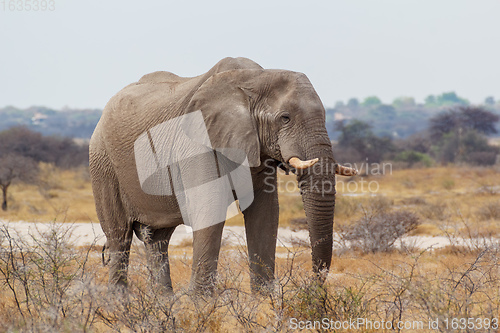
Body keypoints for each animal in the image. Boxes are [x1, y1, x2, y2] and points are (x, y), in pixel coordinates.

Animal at [89, 57, 356, 294]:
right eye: (285, 118)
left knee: (157, 239)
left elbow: (265, 213)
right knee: (120, 237)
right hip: (103, 163)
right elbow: (210, 209)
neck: (254, 79)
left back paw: (164, 302)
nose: (313, 286)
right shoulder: (199, 142)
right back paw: (119, 303)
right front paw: (200, 303)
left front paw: (263, 300)